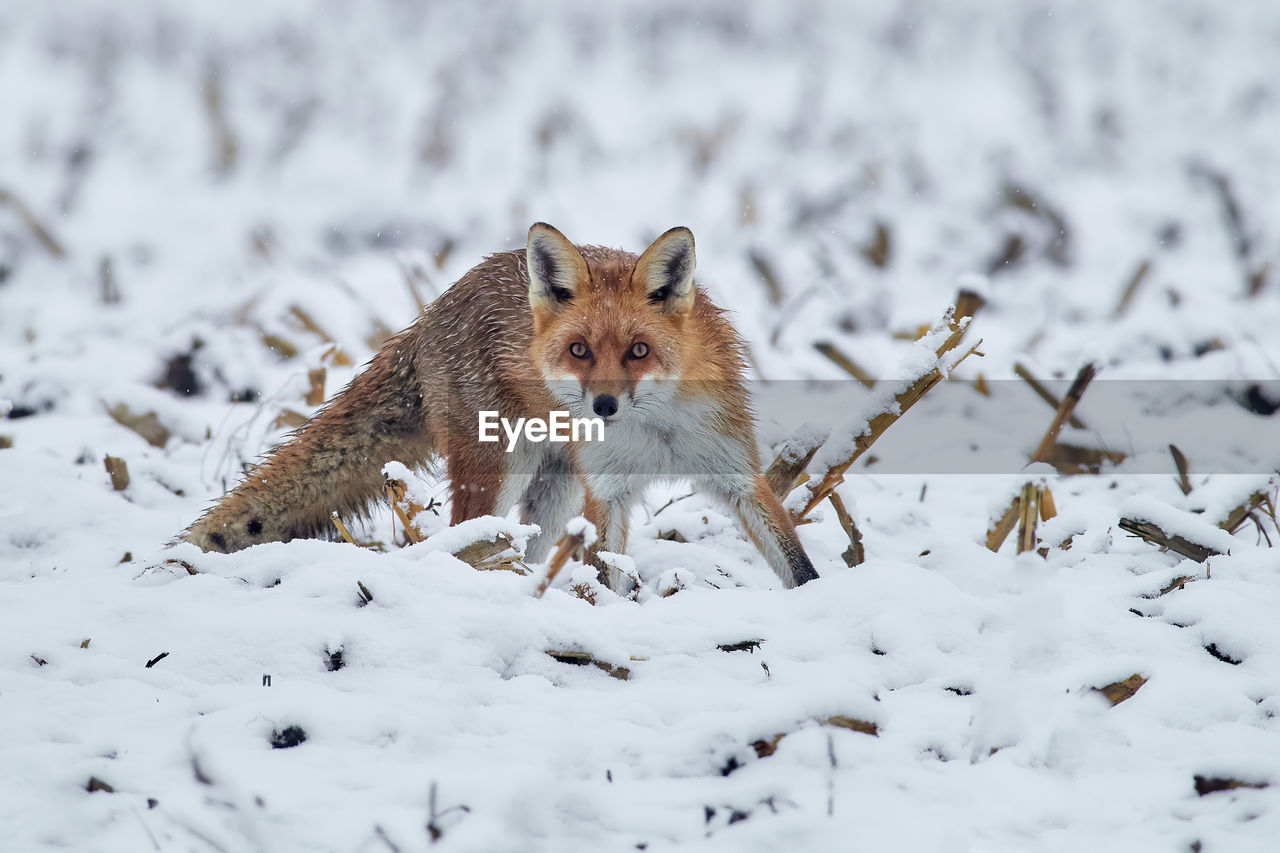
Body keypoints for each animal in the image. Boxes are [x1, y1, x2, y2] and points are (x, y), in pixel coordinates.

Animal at [180, 222, 819, 589]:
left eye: (639, 351)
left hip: (555, 491)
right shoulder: (607, 492)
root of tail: (432, 312)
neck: (655, 433)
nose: (604, 407)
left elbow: (797, 565)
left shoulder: (735, 473)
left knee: (527, 550)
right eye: (579, 350)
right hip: (501, 472)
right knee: (460, 545)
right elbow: (608, 579)